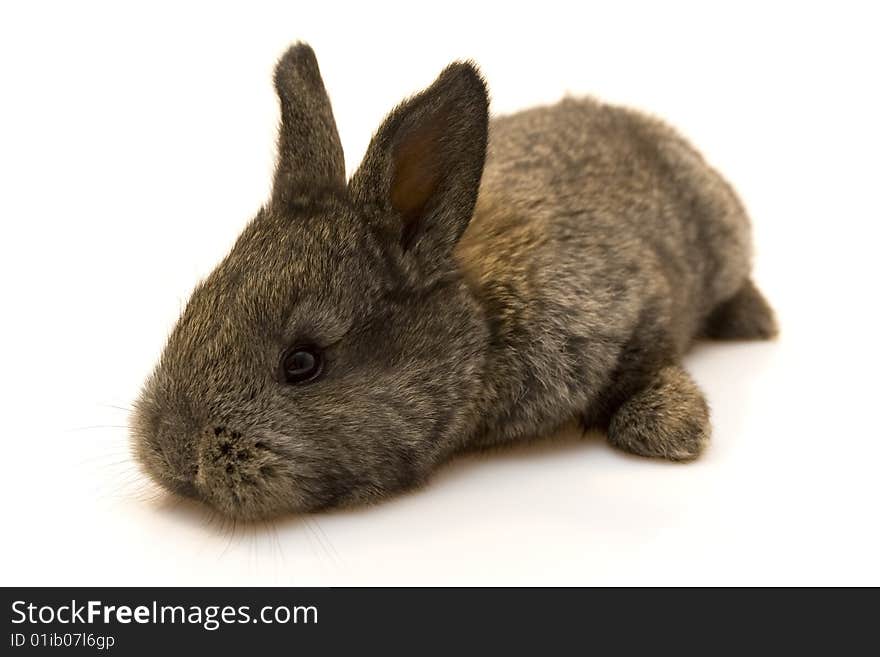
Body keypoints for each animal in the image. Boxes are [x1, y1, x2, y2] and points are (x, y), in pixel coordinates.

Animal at [131, 43, 776, 520]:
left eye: (303, 363)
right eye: (195, 303)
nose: (174, 453)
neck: (484, 333)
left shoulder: (636, 307)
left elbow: (651, 359)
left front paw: (672, 430)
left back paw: (756, 322)